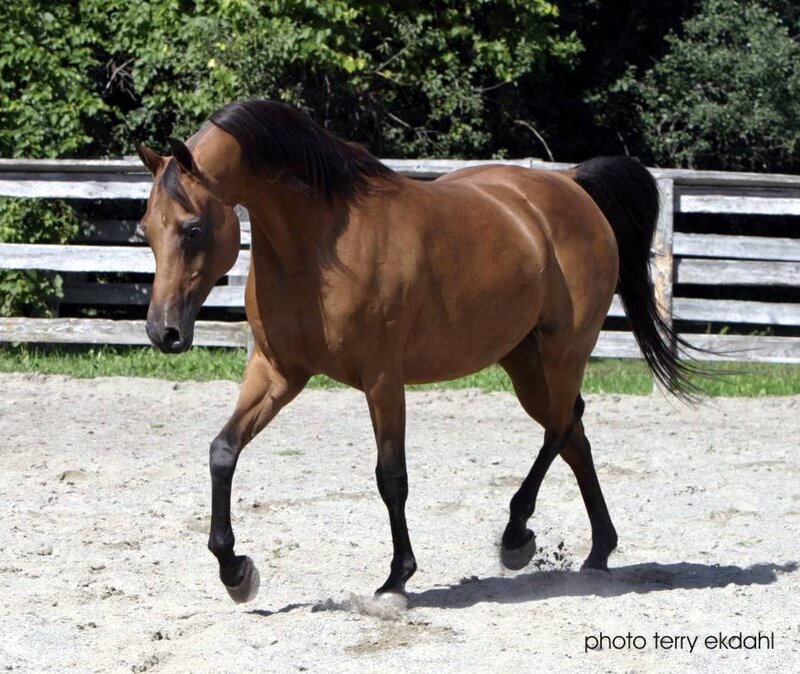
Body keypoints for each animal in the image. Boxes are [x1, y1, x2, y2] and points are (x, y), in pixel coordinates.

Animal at [135, 99, 697, 608]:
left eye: (192, 229)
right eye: (146, 229)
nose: (164, 332)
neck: (321, 244)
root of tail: (574, 185)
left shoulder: (382, 378)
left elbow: (391, 476)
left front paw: (396, 579)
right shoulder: (277, 372)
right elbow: (223, 451)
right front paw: (235, 571)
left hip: (564, 350)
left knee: (561, 428)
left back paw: (516, 536)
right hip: (523, 361)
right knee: (572, 434)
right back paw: (598, 552)